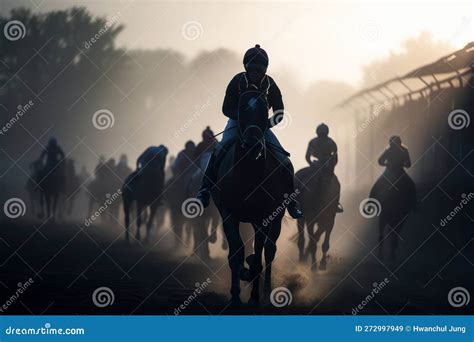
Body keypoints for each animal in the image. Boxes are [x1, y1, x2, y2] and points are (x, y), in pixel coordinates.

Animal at [210, 89, 292, 304]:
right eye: (241, 109)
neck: (249, 174)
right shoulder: (228, 214)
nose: (253, 145)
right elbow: (236, 253)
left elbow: (258, 256)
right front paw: (235, 295)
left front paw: (254, 296)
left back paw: (266, 291)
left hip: (276, 218)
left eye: (264, 110)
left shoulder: (263, 217)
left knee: (269, 251)